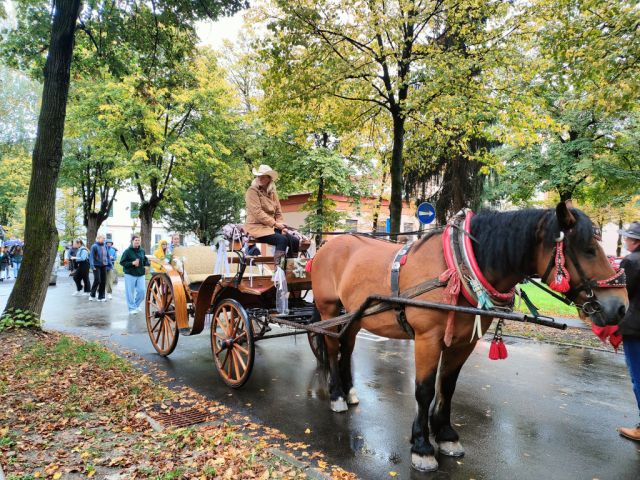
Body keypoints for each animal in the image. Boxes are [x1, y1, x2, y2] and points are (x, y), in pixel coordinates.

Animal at [312, 202, 628, 472]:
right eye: (588, 249)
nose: (620, 306)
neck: (456, 266)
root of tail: (327, 245)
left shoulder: (463, 342)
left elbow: (447, 387)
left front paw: (446, 435)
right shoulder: (427, 339)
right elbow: (424, 390)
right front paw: (422, 447)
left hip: (354, 315)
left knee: (346, 347)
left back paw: (350, 392)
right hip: (330, 310)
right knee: (331, 347)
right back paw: (337, 395)